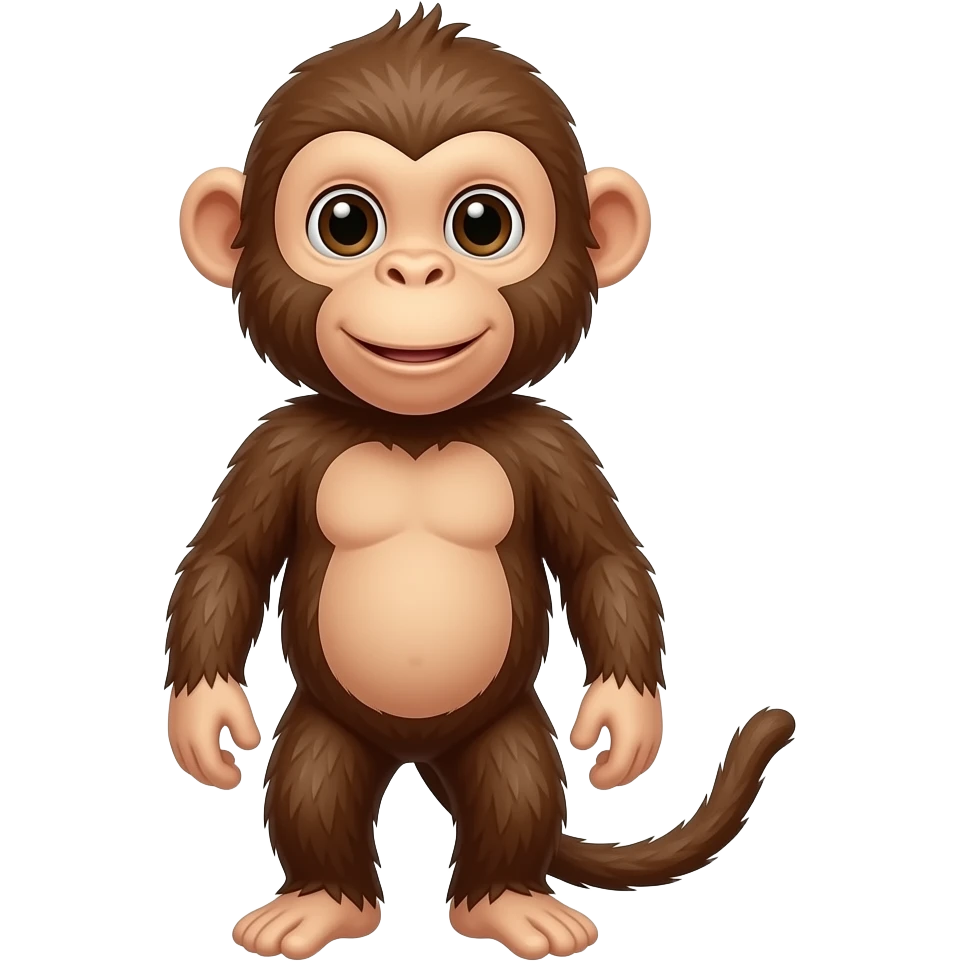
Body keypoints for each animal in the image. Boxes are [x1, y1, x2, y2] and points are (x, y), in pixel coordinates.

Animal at [167, 6, 796, 960]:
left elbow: (604, 561)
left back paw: (507, 902)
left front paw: (624, 720)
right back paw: (321, 902)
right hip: (329, 719)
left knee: (515, 782)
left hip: (499, 726)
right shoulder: (276, 444)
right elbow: (226, 562)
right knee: (314, 780)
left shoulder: (553, 444)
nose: (414, 271)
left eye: (481, 224)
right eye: (345, 223)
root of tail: (417, 749)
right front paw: (204, 718)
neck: (417, 429)